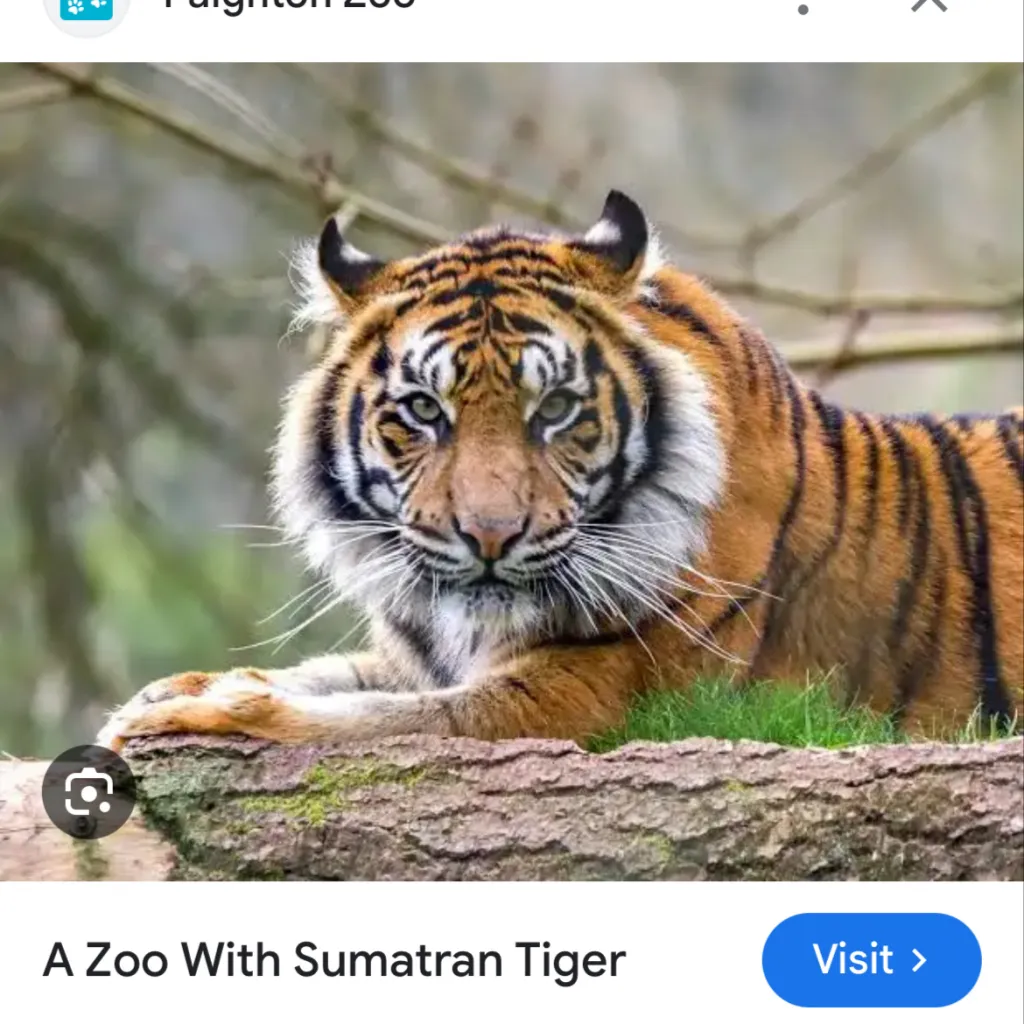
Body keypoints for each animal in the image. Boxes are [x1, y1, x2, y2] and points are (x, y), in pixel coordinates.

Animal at [97, 190, 1024, 752]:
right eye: (424, 410)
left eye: (556, 409)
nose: (490, 536)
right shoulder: (421, 656)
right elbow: (334, 676)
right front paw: (165, 690)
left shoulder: (591, 691)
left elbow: (379, 721)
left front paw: (197, 713)